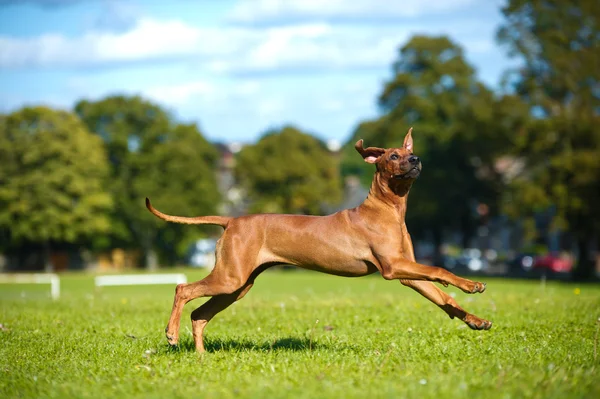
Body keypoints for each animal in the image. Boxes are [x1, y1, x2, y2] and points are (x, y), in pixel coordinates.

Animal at [146, 129, 492, 354]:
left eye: (409, 152)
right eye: (394, 156)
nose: (416, 160)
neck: (387, 208)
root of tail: (231, 220)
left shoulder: (407, 274)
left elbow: (445, 300)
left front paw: (476, 320)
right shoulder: (394, 266)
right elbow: (439, 270)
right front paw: (470, 284)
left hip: (237, 285)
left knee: (199, 314)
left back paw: (201, 356)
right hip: (230, 278)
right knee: (182, 289)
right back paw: (171, 334)